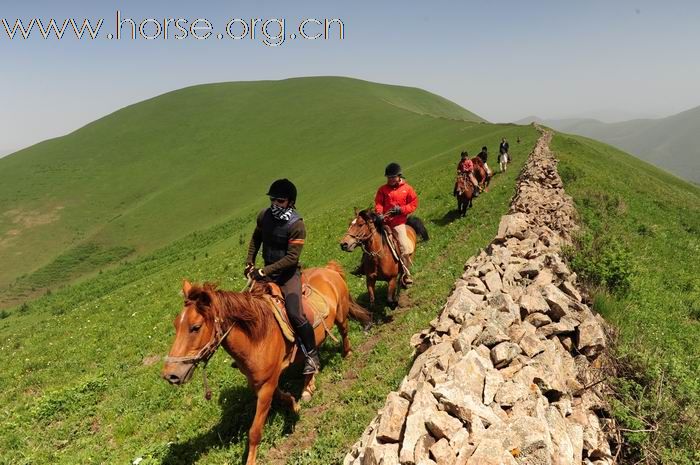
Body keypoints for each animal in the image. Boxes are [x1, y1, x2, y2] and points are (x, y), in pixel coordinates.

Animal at [163, 260, 372, 464]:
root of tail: (329, 269)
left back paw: (347, 354)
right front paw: (294, 404)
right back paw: (308, 387)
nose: (170, 375)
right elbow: (281, 395)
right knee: (312, 356)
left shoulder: (266, 384)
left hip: (341, 315)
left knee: (343, 333)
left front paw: (251, 460)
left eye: (195, 327)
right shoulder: (260, 382)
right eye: (175, 325)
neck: (257, 336)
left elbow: (255, 431)